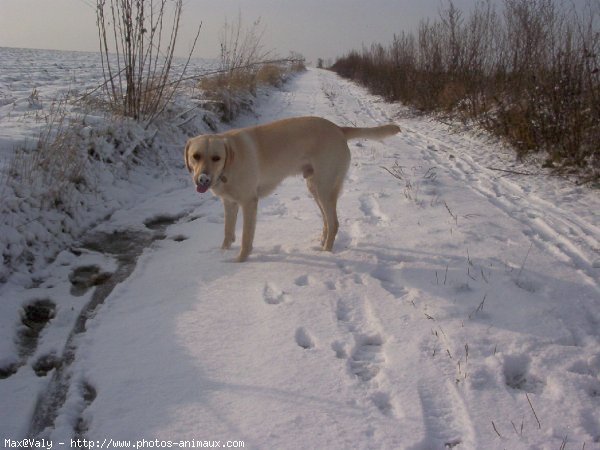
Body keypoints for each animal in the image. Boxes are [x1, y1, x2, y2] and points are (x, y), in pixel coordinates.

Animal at [185, 116, 400, 262]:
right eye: (196, 156)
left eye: (216, 158)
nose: (202, 179)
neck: (229, 163)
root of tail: (339, 128)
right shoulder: (229, 203)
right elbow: (228, 232)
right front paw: (221, 254)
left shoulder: (248, 202)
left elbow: (246, 237)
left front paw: (239, 261)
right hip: (315, 188)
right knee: (327, 221)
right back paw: (321, 243)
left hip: (324, 188)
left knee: (334, 223)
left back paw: (326, 253)